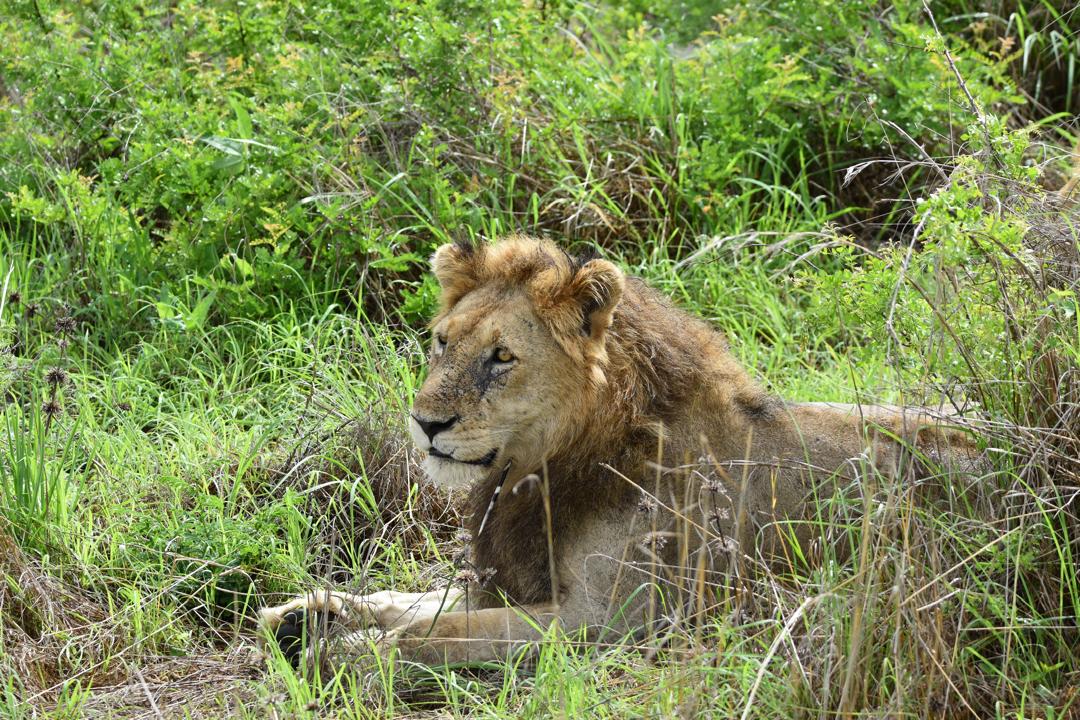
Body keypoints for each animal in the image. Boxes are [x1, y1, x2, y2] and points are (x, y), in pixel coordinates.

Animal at [259, 235, 976, 670]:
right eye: (442, 342)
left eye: (502, 357)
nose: (425, 423)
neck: (537, 470)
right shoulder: (512, 578)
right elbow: (412, 600)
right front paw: (304, 614)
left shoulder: (609, 621)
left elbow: (431, 633)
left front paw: (344, 652)